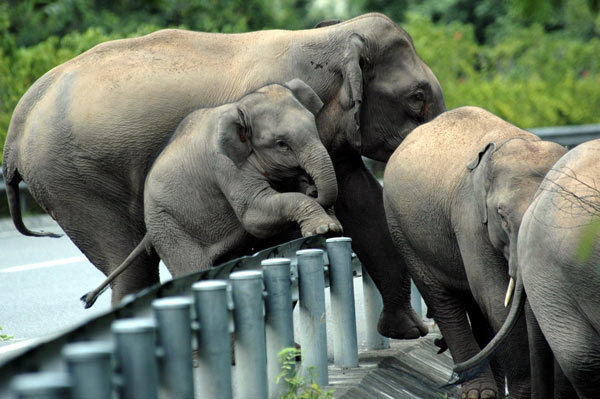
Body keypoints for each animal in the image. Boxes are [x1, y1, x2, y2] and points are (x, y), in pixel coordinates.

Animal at [82, 79, 340, 308]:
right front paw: (324, 228)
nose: (314, 190)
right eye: (281, 144)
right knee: (191, 268)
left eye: (314, 124)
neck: (241, 106)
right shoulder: (226, 167)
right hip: (168, 228)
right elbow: (254, 216)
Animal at [382, 107, 568, 399]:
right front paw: (522, 391)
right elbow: (494, 296)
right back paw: (480, 392)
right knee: (444, 299)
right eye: (501, 215)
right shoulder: (469, 218)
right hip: (401, 230)